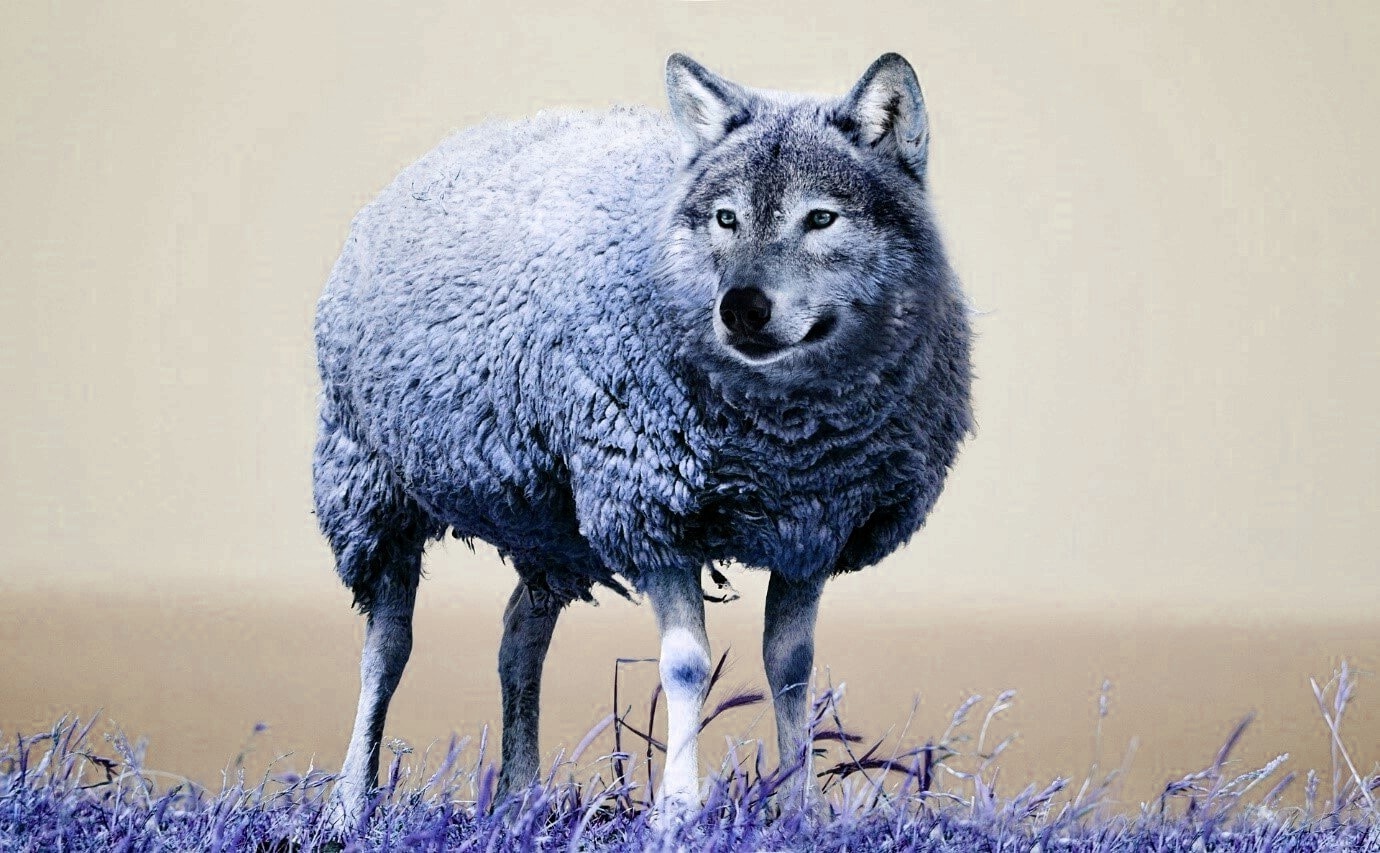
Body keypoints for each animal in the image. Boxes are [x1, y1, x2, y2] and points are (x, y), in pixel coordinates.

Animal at [313, 52, 972, 823]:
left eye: (821, 218)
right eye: (725, 217)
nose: (741, 308)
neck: (783, 440)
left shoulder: (812, 528)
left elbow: (791, 667)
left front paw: (800, 806)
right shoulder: (650, 513)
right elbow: (686, 666)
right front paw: (680, 809)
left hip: (550, 526)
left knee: (519, 638)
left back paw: (520, 797)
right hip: (368, 482)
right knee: (387, 645)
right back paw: (350, 802)